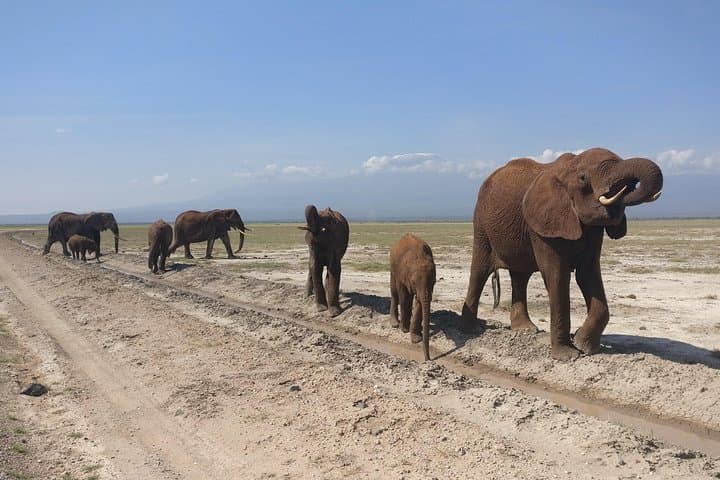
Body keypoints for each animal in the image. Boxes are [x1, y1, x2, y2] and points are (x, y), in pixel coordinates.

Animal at [461, 147, 663, 361]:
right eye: (583, 178)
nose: (629, 186)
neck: (567, 168)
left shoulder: (591, 229)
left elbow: (587, 274)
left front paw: (584, 345)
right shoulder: (542, 224)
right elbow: (557, 276)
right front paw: (568, 356)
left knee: (520, 277)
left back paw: (525, 330)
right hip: (481, 224)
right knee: (479, 271)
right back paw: (470, 331)